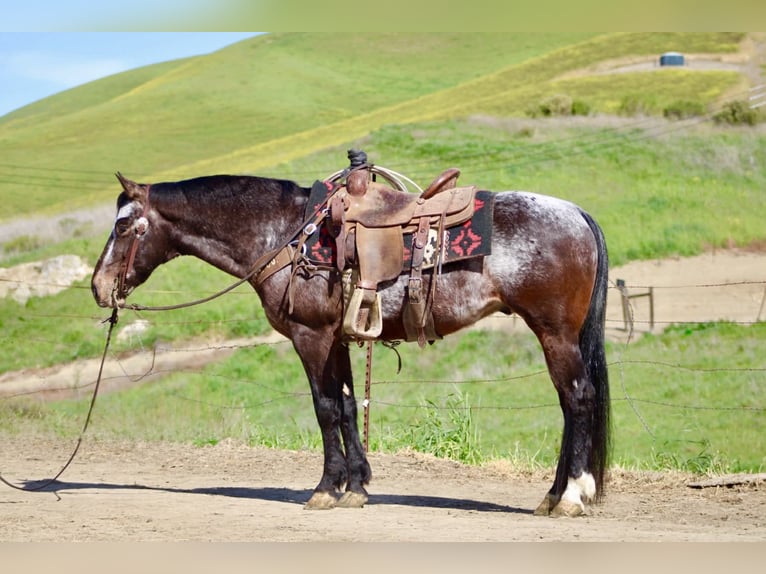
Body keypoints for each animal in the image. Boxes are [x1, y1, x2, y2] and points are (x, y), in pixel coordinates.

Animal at [91, 165, 610, 517]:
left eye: (122, 226)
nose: (98, 286)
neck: (286, 234)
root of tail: (577, 214)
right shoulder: (335, 339)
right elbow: (344, 404)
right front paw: (356, 487)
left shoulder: (311, 336)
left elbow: (324, 408)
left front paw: (325, 488)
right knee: (569, 404)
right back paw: (553, 495)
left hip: (554, 333)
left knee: (578, 399)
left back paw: (571, 496)